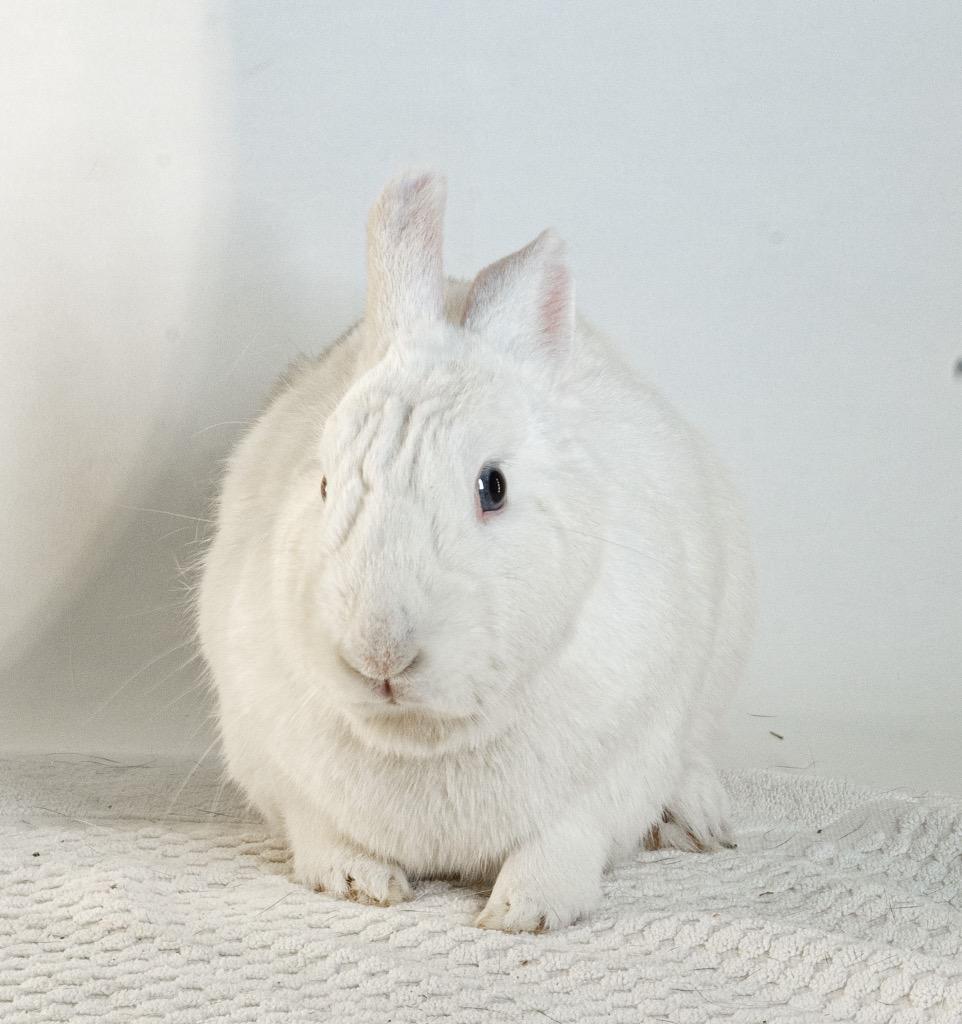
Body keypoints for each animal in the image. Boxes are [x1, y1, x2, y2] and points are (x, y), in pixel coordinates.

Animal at [197, 171, 754, 932]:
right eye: (323, 483)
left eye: (494, 486)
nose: (379, 653)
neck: (427, 734)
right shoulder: (278, 768)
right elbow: (319, 831)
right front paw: (359, 880)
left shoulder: (611, 775)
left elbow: (563, 844)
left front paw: (525, 911)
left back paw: (698, 821)